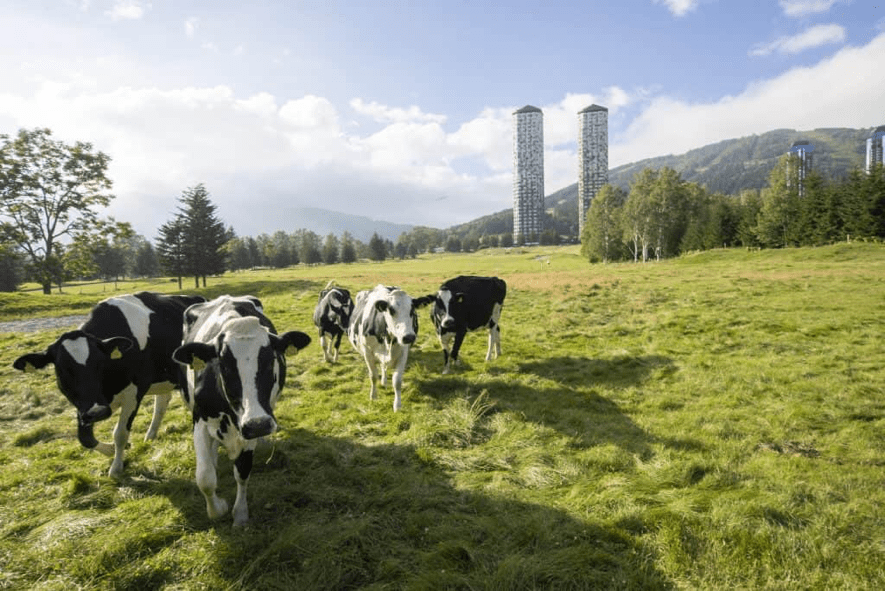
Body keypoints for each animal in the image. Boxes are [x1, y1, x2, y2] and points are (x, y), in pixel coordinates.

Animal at [12, 294, 206, 478]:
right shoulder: (84, 404)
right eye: (63, 369)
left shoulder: (133, 394)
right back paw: (150, 435)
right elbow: (85, 438)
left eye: (100, 363)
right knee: (162, 402)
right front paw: (111, 450)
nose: (98, 412)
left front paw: (116, 467)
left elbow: (119, 433)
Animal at [173, 296, 310, 528]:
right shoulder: (200, 420)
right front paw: (218, 508)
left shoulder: (249, 427)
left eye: (270, 360)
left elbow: (243, 470)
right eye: (224, 365)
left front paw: (240, 514)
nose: (260, 425)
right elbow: (205, 477)